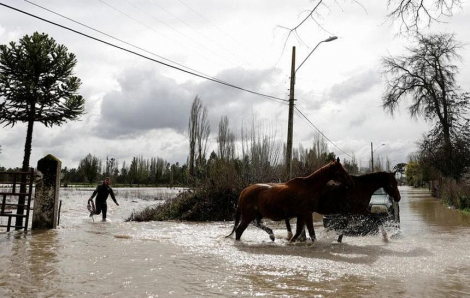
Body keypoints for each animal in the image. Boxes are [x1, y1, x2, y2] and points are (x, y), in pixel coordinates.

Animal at [226, 161, 354, 242]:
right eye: (341, 171)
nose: (351, 182)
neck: (309, 187)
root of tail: (244, 191)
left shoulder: (301, 215)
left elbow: (298, 232)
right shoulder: (307, 214)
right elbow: (311, 233)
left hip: (257, 214)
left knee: (256, 224)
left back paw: (271, 235)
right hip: (248, 215)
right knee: (239, 231)